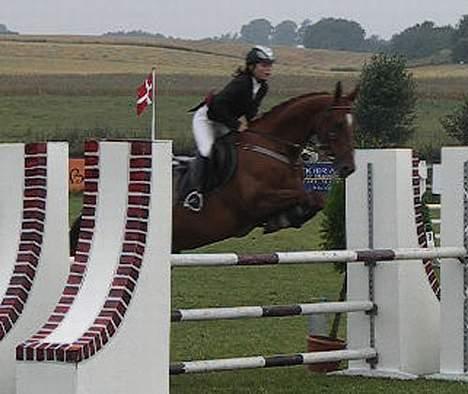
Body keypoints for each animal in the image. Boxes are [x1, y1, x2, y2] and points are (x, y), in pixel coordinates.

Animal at [172, 81, 358, 251]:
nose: (348, 167)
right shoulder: (256, 202)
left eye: (352, 125)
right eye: (337, 124)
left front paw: (287, 218)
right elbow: (305, 195)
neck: (275, 146)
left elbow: (317, 200)